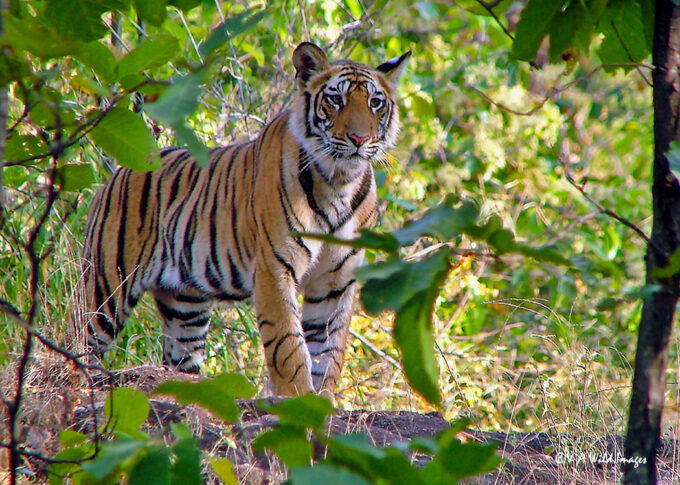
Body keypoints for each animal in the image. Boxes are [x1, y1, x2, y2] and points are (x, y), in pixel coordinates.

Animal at [81, 42, 410, 398]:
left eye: (375, 103)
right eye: (336, 100)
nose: (359, 139)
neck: (340, 182)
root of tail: (117, 173)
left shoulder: (336, 282)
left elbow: (328, 353)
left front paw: (322, 402)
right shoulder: (275, 267)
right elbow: (289, 346)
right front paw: (298, 401)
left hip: (184, 307)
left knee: (180, 358)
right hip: (106, 287)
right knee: (81, 339)